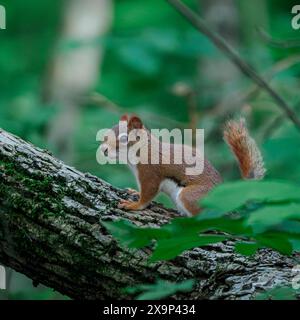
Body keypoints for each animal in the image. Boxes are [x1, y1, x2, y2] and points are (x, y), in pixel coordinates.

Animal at [101, 114, 264, 216]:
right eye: (106, 135)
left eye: (124, 138)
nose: (103, 150)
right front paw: (134, 191)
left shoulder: (151, 172)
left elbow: (148, 193)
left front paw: (133, 205)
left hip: (191, 196)